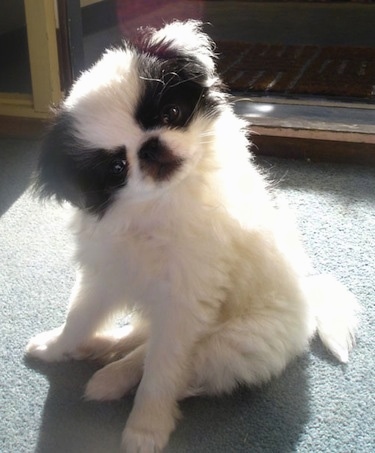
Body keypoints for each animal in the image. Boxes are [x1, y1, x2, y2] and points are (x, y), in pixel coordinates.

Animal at [25, 20, 360, 452]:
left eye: (172, 113)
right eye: (116, 168)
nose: (150, 148)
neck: (162, 208)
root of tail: (309, 298)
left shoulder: (185, 305)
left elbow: (162, 372)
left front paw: (145, 429)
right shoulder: (105, 274)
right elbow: (78, 318)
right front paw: (56, 347)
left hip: (234, 343)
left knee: (173, 364)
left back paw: (112, 376)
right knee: (140, 336)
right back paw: (103, 347)